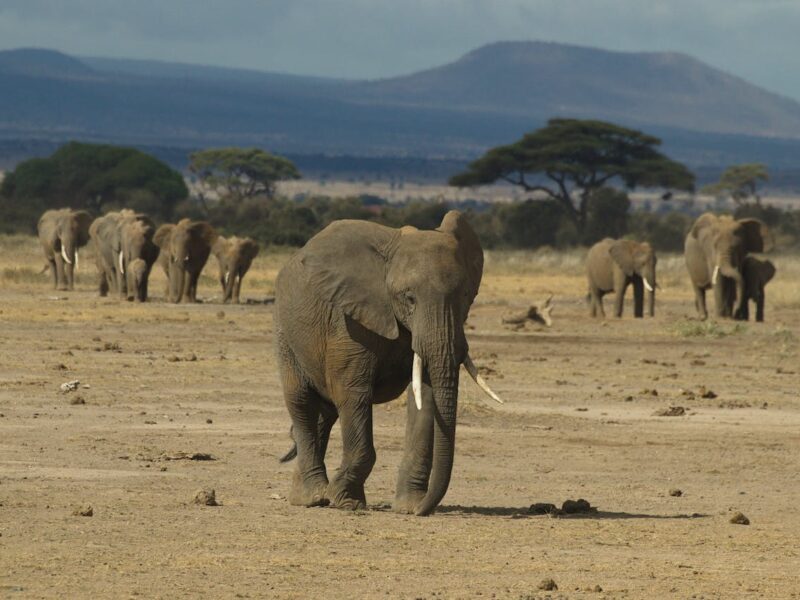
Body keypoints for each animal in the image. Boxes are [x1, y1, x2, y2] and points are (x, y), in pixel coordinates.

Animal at [274, 211, 502, 516]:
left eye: (466, 296)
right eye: (409, 298)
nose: (423, 510)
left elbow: (425, 397)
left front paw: (409, 506)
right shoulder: (348, 323)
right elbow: (352, 393)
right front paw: (347, 502)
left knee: (325, 412)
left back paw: (307, 494)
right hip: (284, 331)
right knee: (301, 401)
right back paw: (313, 497)